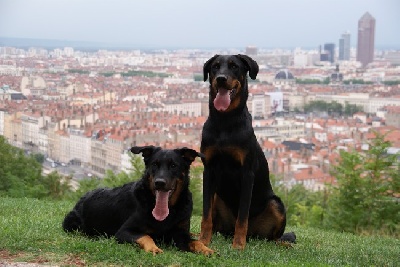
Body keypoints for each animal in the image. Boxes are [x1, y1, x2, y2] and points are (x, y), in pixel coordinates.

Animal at [62, 147, 214, 258]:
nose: (159, 183)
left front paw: (206, 249)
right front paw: (153, 248)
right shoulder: (124, 232)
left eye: (173, 165)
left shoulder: (180, 234)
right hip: (71, 222)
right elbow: (146, 236)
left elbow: (195, 242)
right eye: (154, 164)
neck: (169, 211)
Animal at [199, 55, 296, 251]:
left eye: (234, 67)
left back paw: (281, 243)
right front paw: (203, 241)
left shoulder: (247, 174)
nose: (221, 78)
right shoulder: (209, 170)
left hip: (276, 204)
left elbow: (242, 216)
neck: (225, 121)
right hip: (218, 198)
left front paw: (238, 246)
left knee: (273, 237)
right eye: (215, 67)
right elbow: (206, 214)